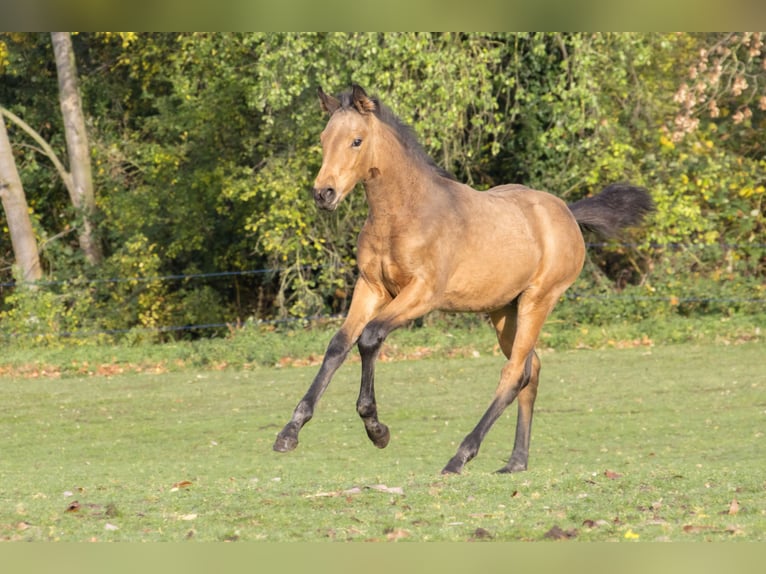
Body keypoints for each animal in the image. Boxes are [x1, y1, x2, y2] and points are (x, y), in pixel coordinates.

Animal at [273, 84, 654, 475]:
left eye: (356, 141)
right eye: (323, 139)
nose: (324, 194)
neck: (403, 215)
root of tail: (567, 212)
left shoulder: (422, 293)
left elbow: (370, 337)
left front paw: (376, 428)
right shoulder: (370, 288)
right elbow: (338, 345)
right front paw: (290, 431)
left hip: (538, 300)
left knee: (514, 373)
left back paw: (460, 456)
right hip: (504, 310)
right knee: (530, 369)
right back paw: (516, 461)